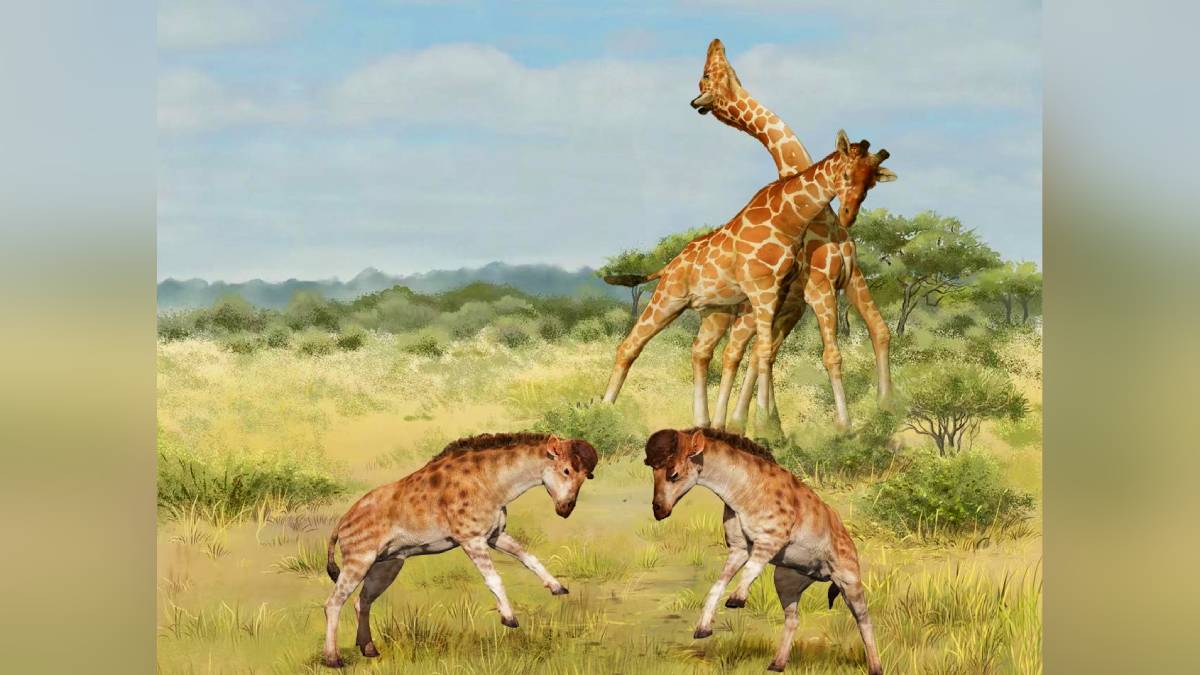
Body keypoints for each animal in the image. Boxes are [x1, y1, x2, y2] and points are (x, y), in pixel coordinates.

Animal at [601, 131, 894, 435]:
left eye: (871, 182)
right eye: (846, 174)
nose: (848, 214)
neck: (789, 220)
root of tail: (668, 266)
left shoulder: (780, 292)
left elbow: (763, 352)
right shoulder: (768, 289)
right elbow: (767, 351)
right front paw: (767, 425)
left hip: (715, 312)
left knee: (701, 352)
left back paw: (704, 422)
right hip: (669, 298)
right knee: (630, 346)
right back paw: (604, 411)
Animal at [689, 39, 895, 432]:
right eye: (705, 75)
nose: (715, 43)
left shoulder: (848, 278)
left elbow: (880, 330)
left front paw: (887, 408)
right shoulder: (817, 288)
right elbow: (829, 354)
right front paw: (844, 427)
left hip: (778, 308)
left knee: (750, 351)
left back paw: (749, 422)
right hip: (760, 309)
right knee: (736, 350)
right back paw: (736, 422)